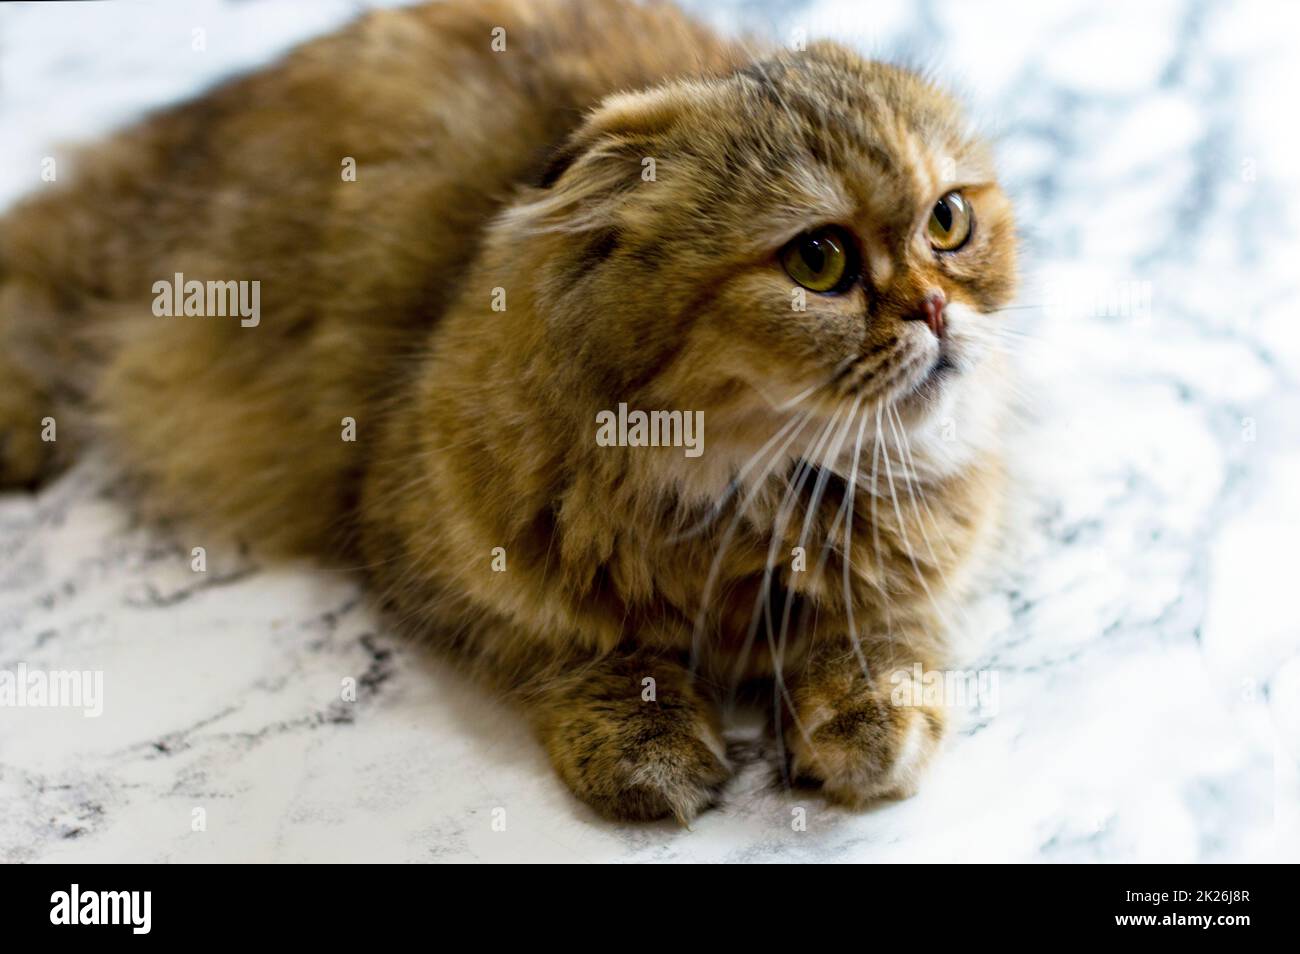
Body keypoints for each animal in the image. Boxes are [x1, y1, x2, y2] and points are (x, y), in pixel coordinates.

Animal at [0, 0, 1013, 821]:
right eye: (819, 263)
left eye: (948, 222)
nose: (935, 307)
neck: (760, 492)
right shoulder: (420, 545)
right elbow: (577, 646)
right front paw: (645, 738)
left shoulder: (914, 563)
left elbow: (879, 630)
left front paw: (864, 717)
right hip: (130, 266)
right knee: (32, 260)